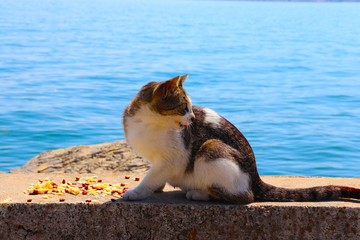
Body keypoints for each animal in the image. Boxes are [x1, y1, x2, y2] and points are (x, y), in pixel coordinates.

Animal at [121, 75, 360, 202]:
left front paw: (137, 192)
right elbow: (155, 175)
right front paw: (156, 188)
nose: (193, 117)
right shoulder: (158, 161)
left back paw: (199, 193)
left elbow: (151, 177)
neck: (149, 124)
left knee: (245, 196)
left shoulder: (174, 158)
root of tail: (255, 176)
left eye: (190, 107)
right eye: (183, 107)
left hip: (211, 148)